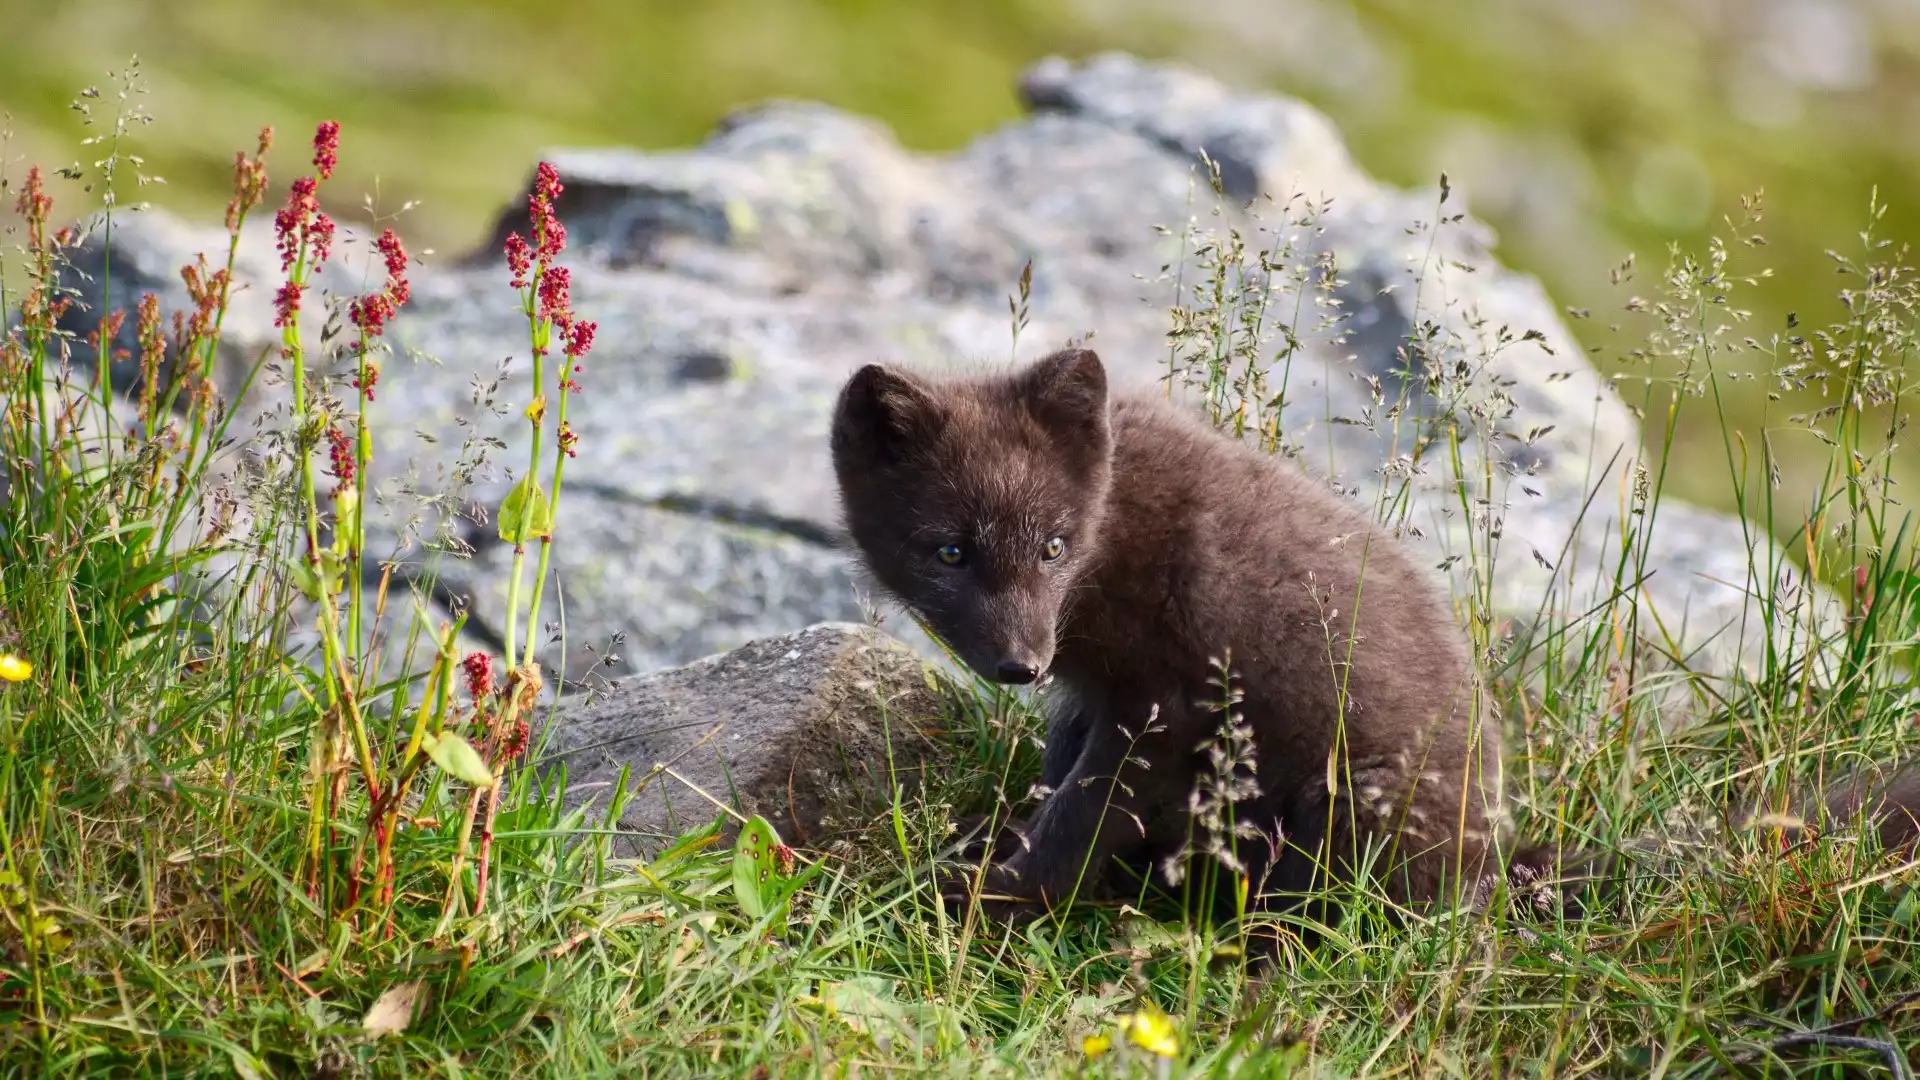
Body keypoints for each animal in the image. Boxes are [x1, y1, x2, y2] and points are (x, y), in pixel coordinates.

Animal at [829, 349, 1920, 922]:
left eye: (1055, 544)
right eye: (950, 551)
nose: (1021, 663)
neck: (1119, 526)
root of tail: (1499, 857)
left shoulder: (1165, 706)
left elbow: (1079, 820)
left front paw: (985, 902)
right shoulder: (1094, 700)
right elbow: (1056, 784)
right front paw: (983, 859)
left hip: (1345, 815)